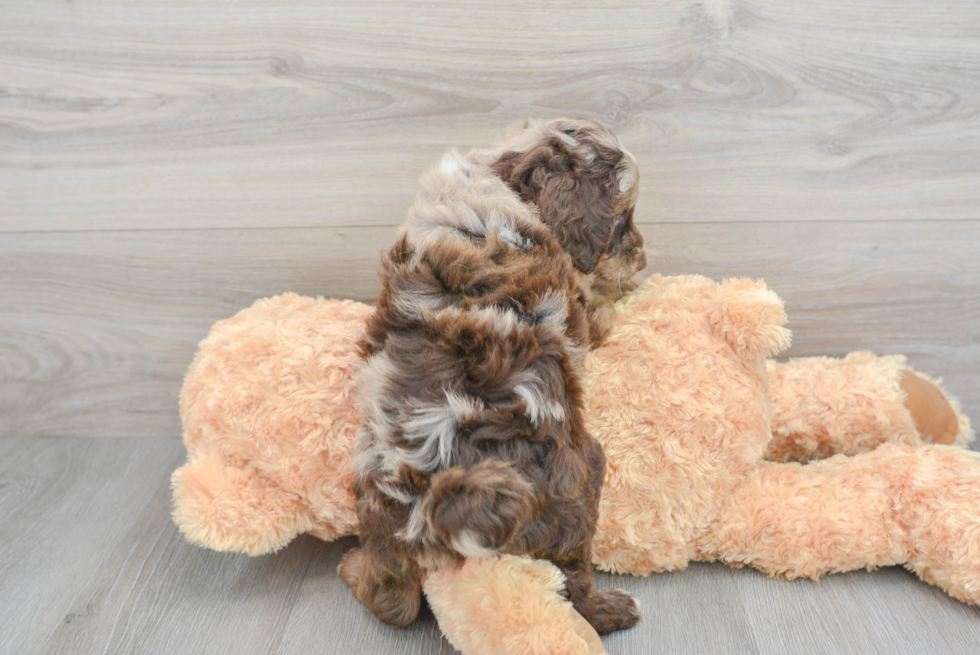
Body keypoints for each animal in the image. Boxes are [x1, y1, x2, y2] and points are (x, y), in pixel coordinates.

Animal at [340, 116, 648, 636]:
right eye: (622, 221)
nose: (643, 261)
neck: (499, 179)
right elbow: (595, 312)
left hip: (379, 516)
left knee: (392, 601)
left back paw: (352, 568)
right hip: (580, 481)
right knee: (574, 580)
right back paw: (610, 609)